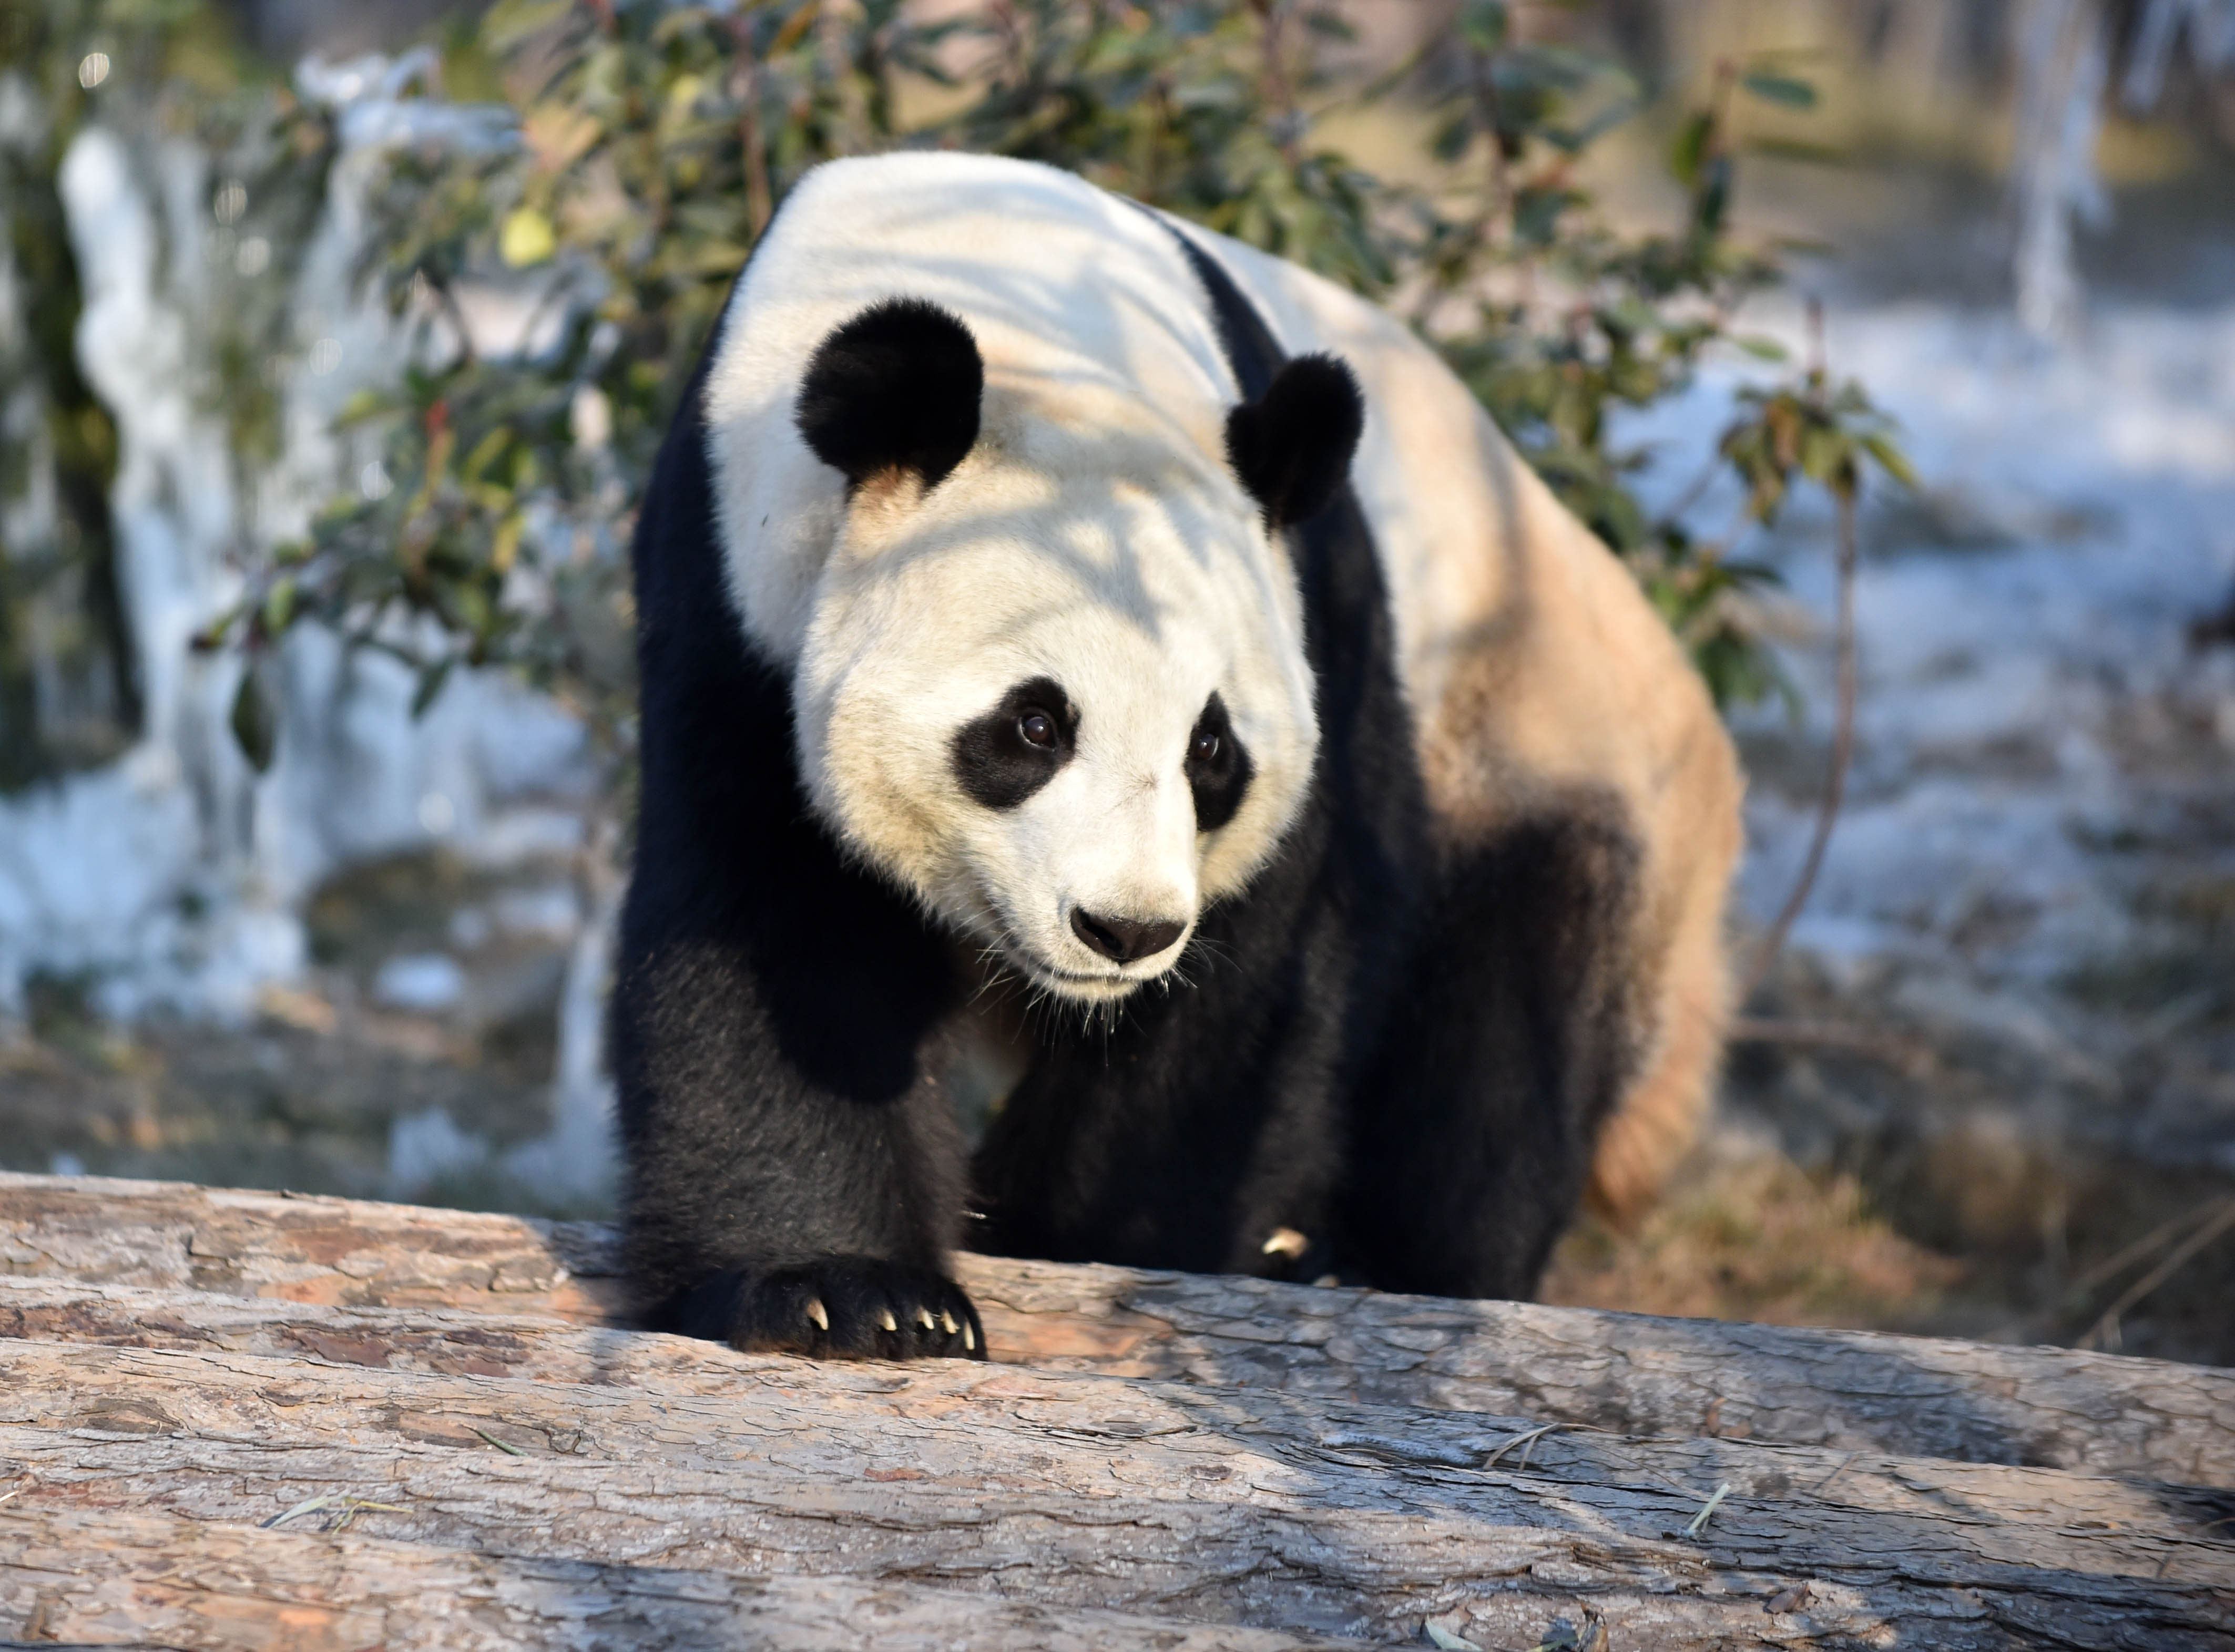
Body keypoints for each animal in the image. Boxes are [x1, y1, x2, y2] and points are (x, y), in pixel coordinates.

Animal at [617, 152, 1743, 1359]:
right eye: (1034, 725)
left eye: (1211, 747)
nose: (1125, 930)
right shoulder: (734, 595)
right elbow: (775, 925)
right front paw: (853, 1294)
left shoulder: (1318, 616)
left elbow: (1260, 979)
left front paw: (1096, 1243)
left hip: (1536, 741)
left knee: (1496, 1058)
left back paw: (1367, 1265)